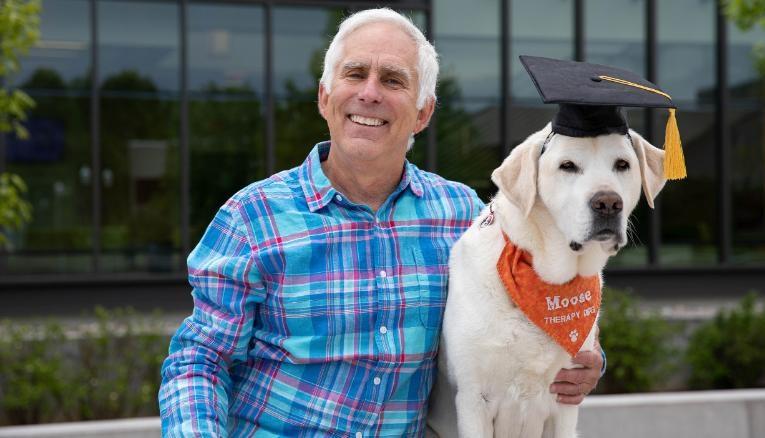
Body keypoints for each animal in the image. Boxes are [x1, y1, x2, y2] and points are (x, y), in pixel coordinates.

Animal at [427, 123, 666, 438]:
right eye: (567, 166)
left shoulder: (564, 399)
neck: (546, 280)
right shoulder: (472, 398)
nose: (608, 203)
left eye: (622, 164)